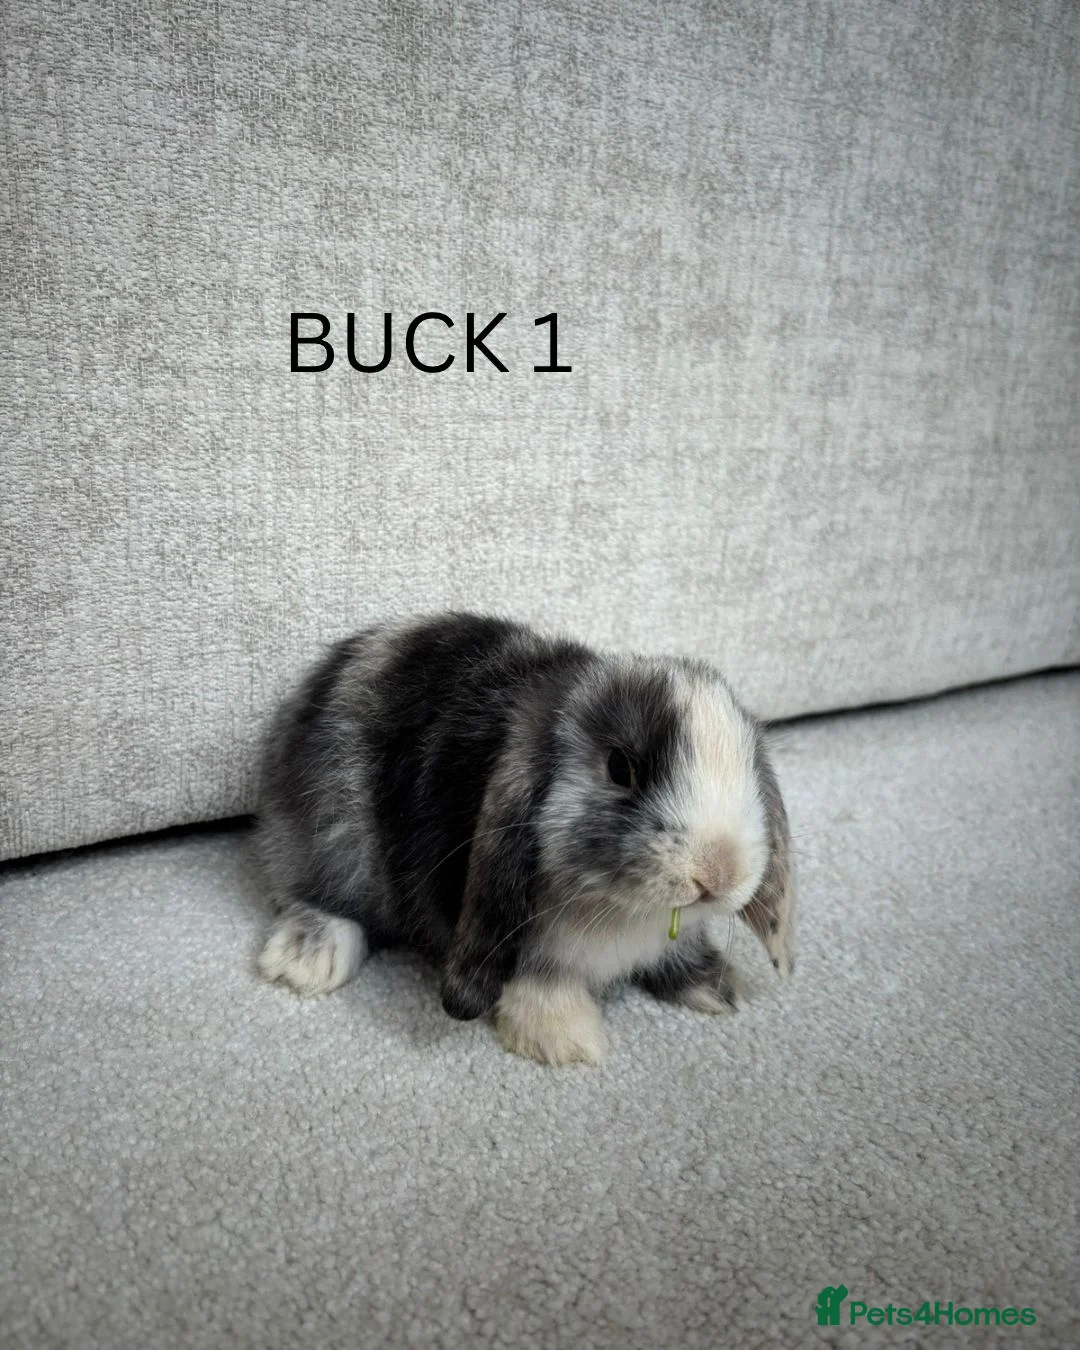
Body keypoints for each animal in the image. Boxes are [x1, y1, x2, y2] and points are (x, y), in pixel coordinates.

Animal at [255, 612, 795, 1065]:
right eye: (620, 768)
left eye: (750, 766)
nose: (718, 872)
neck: (620, 912)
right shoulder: (508, 925)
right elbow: (534, 976)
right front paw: (565, 1040)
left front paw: (720, 987)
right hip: (335, 839)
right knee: (311, 896)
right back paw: (305, 960)